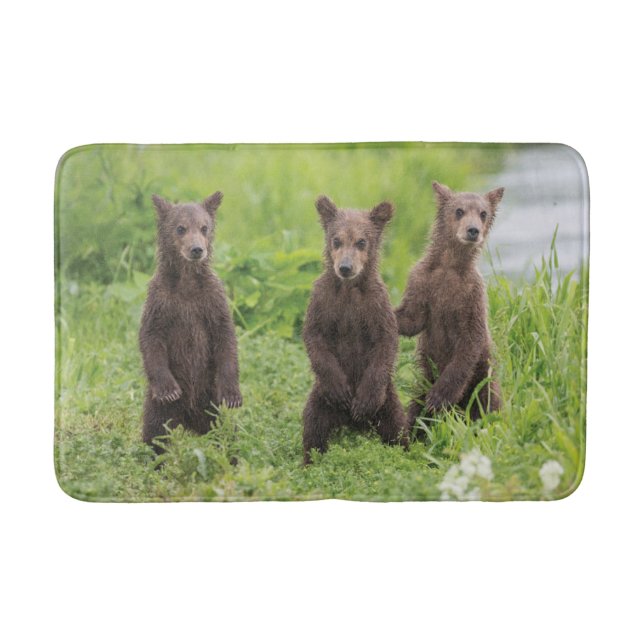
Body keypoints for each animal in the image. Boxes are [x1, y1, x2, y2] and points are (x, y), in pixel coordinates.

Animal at [139, 191, 242, 452]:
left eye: (204, 227)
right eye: (180, 228)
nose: (197, 249)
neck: (186, 282)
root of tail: (189, 420)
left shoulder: (211, 300)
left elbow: (226, 336)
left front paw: (232, 394)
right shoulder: (161, 301)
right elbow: (150, 337)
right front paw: (168, 390)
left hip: (210, 399)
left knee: (225, 431)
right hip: (159, 408)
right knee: (156, 433)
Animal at [302, 195, 408, 464]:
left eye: (361, 241)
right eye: (336, 240)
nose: (345, 267)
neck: (348, 289)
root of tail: (350, 424)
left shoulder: (376, 305)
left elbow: (386, 342)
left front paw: (362, 403)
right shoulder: (323, 301)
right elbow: (314, 337)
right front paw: (341, 391)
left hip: (388, 402)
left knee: (398, 430)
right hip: (320, 400)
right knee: (313, 428)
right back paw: (309, 462)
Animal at [395, 181, 504, 433]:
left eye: (483, 213)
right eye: (459, 210)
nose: (473, 230)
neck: (450, 265)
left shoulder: (471, 295)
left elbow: (469, 341)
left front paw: (439, 397)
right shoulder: (422, 282)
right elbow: (412, 318)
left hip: (482, 378)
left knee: (487, 404)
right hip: (425, 379)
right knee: (416, 410)